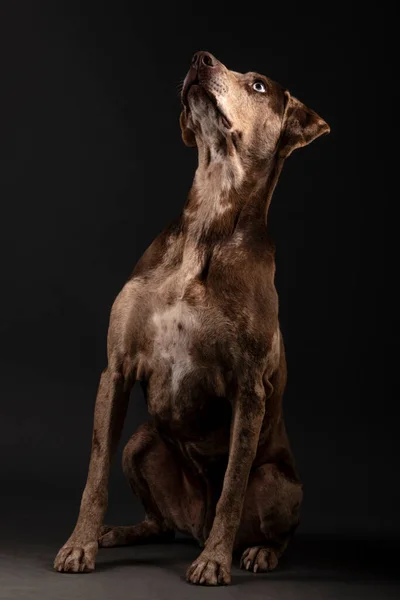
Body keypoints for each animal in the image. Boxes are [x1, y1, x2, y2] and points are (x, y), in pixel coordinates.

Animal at [54, 50, 328, 584]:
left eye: (259, 85)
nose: (201, 58)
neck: (209, 220)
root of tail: (193, 527)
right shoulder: (116, 369)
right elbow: (94, 474)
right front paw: (79, 545)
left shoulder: (248, 390)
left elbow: (232, 489)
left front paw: (215, 563)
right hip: (141, 443)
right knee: (161, 523)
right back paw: (119, 533)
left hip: (281, 481)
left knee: (273, 527)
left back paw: (255, 552)